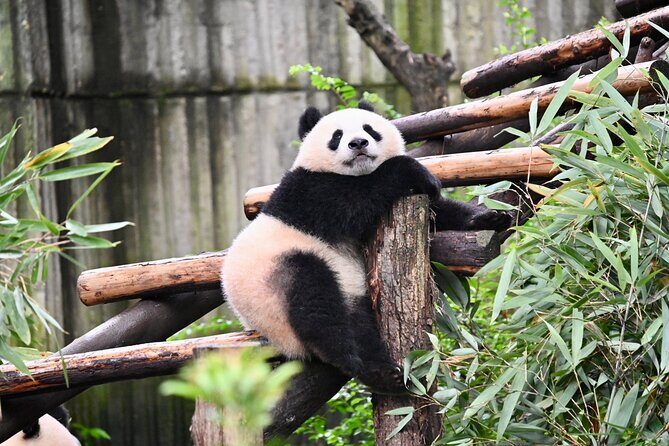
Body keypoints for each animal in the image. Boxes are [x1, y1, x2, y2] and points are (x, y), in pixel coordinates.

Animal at [223, 102, 509, 393]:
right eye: (336, 136)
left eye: (369, 129)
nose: (358, 143)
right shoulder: (309, 192)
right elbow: (357, 198)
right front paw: (422, 175)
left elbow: (438, 214)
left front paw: (489, 217)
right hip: (274, 284)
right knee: (315, 306)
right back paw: (361, 366)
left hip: (348, 295)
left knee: (358, 325)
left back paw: (385, 373)